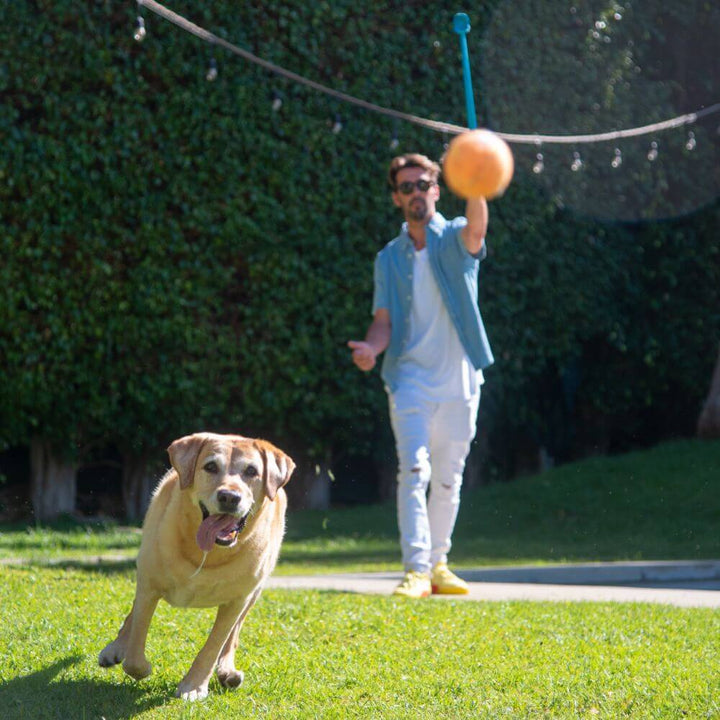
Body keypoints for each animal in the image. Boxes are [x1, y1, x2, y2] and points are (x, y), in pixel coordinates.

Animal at [98, 434, 296, 696]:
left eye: (251, 471)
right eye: (210, 466)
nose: (229, 497)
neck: (207, 553)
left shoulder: (238, 600)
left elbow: (215, 644)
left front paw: (194, 686)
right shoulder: (149, 585)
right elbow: (136, 643)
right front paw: (139, 666)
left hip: (255, 591)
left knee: (233, 636)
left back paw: (227, 671)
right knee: (132, 618)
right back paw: (115, 648)